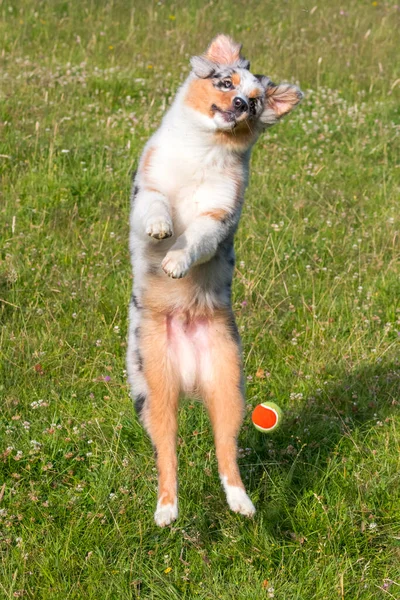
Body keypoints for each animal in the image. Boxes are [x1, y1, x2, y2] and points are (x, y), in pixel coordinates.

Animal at [128, 35, 304, 528]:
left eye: (255, 101)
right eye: (226, 84)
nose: (241, 103)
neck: (203, 151)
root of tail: (190, 378)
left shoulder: (219, 214)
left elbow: (196, 238)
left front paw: (176, 261)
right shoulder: (149, 188)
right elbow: (157, 209)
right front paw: (161, 232)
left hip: (228, 390)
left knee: (226, 453)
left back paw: (241, 503)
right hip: (155, 392)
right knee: (167, 457)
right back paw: (166, 511)